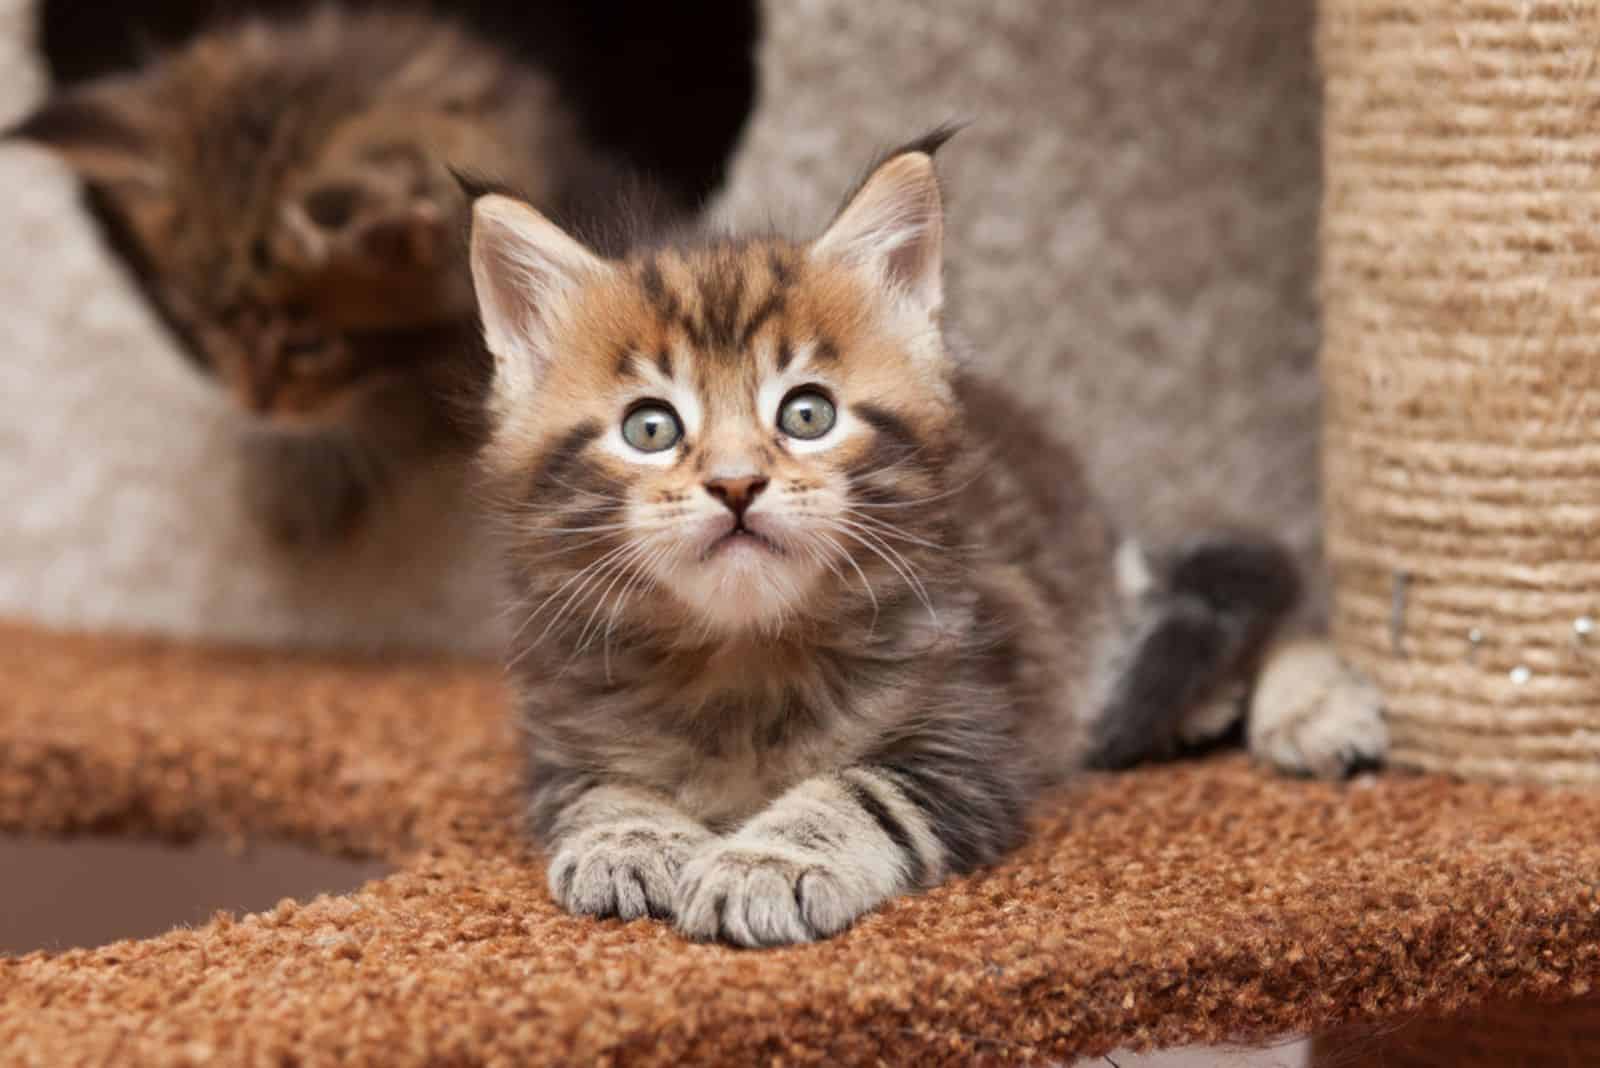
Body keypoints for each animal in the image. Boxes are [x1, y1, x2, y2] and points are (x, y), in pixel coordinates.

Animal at [467, 131, 1299, 940]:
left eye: (807, 415)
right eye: (650, 428)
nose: (736, 484)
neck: (743, 659)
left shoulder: (970, 739)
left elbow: (859, 792)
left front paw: (766, 864)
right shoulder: (561, 737)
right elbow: (602, 787)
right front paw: (629, 839)